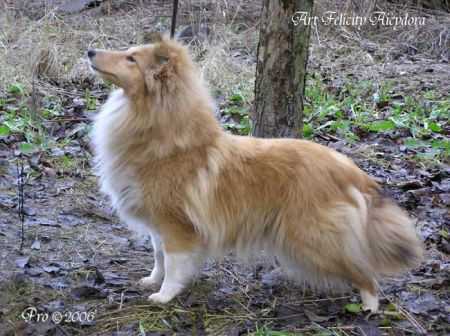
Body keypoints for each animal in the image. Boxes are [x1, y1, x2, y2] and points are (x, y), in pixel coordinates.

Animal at [88, 34, 422, 312]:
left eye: (131, 59)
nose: (90, 51)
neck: (166, 138)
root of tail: (350, 169)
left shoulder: (176, 225)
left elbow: (173, 264)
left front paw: (164, 295)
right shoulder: (159, 224)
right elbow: (159, 256)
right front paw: (151, 280)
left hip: (314, 238)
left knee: (366, 273)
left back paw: (368, 307)